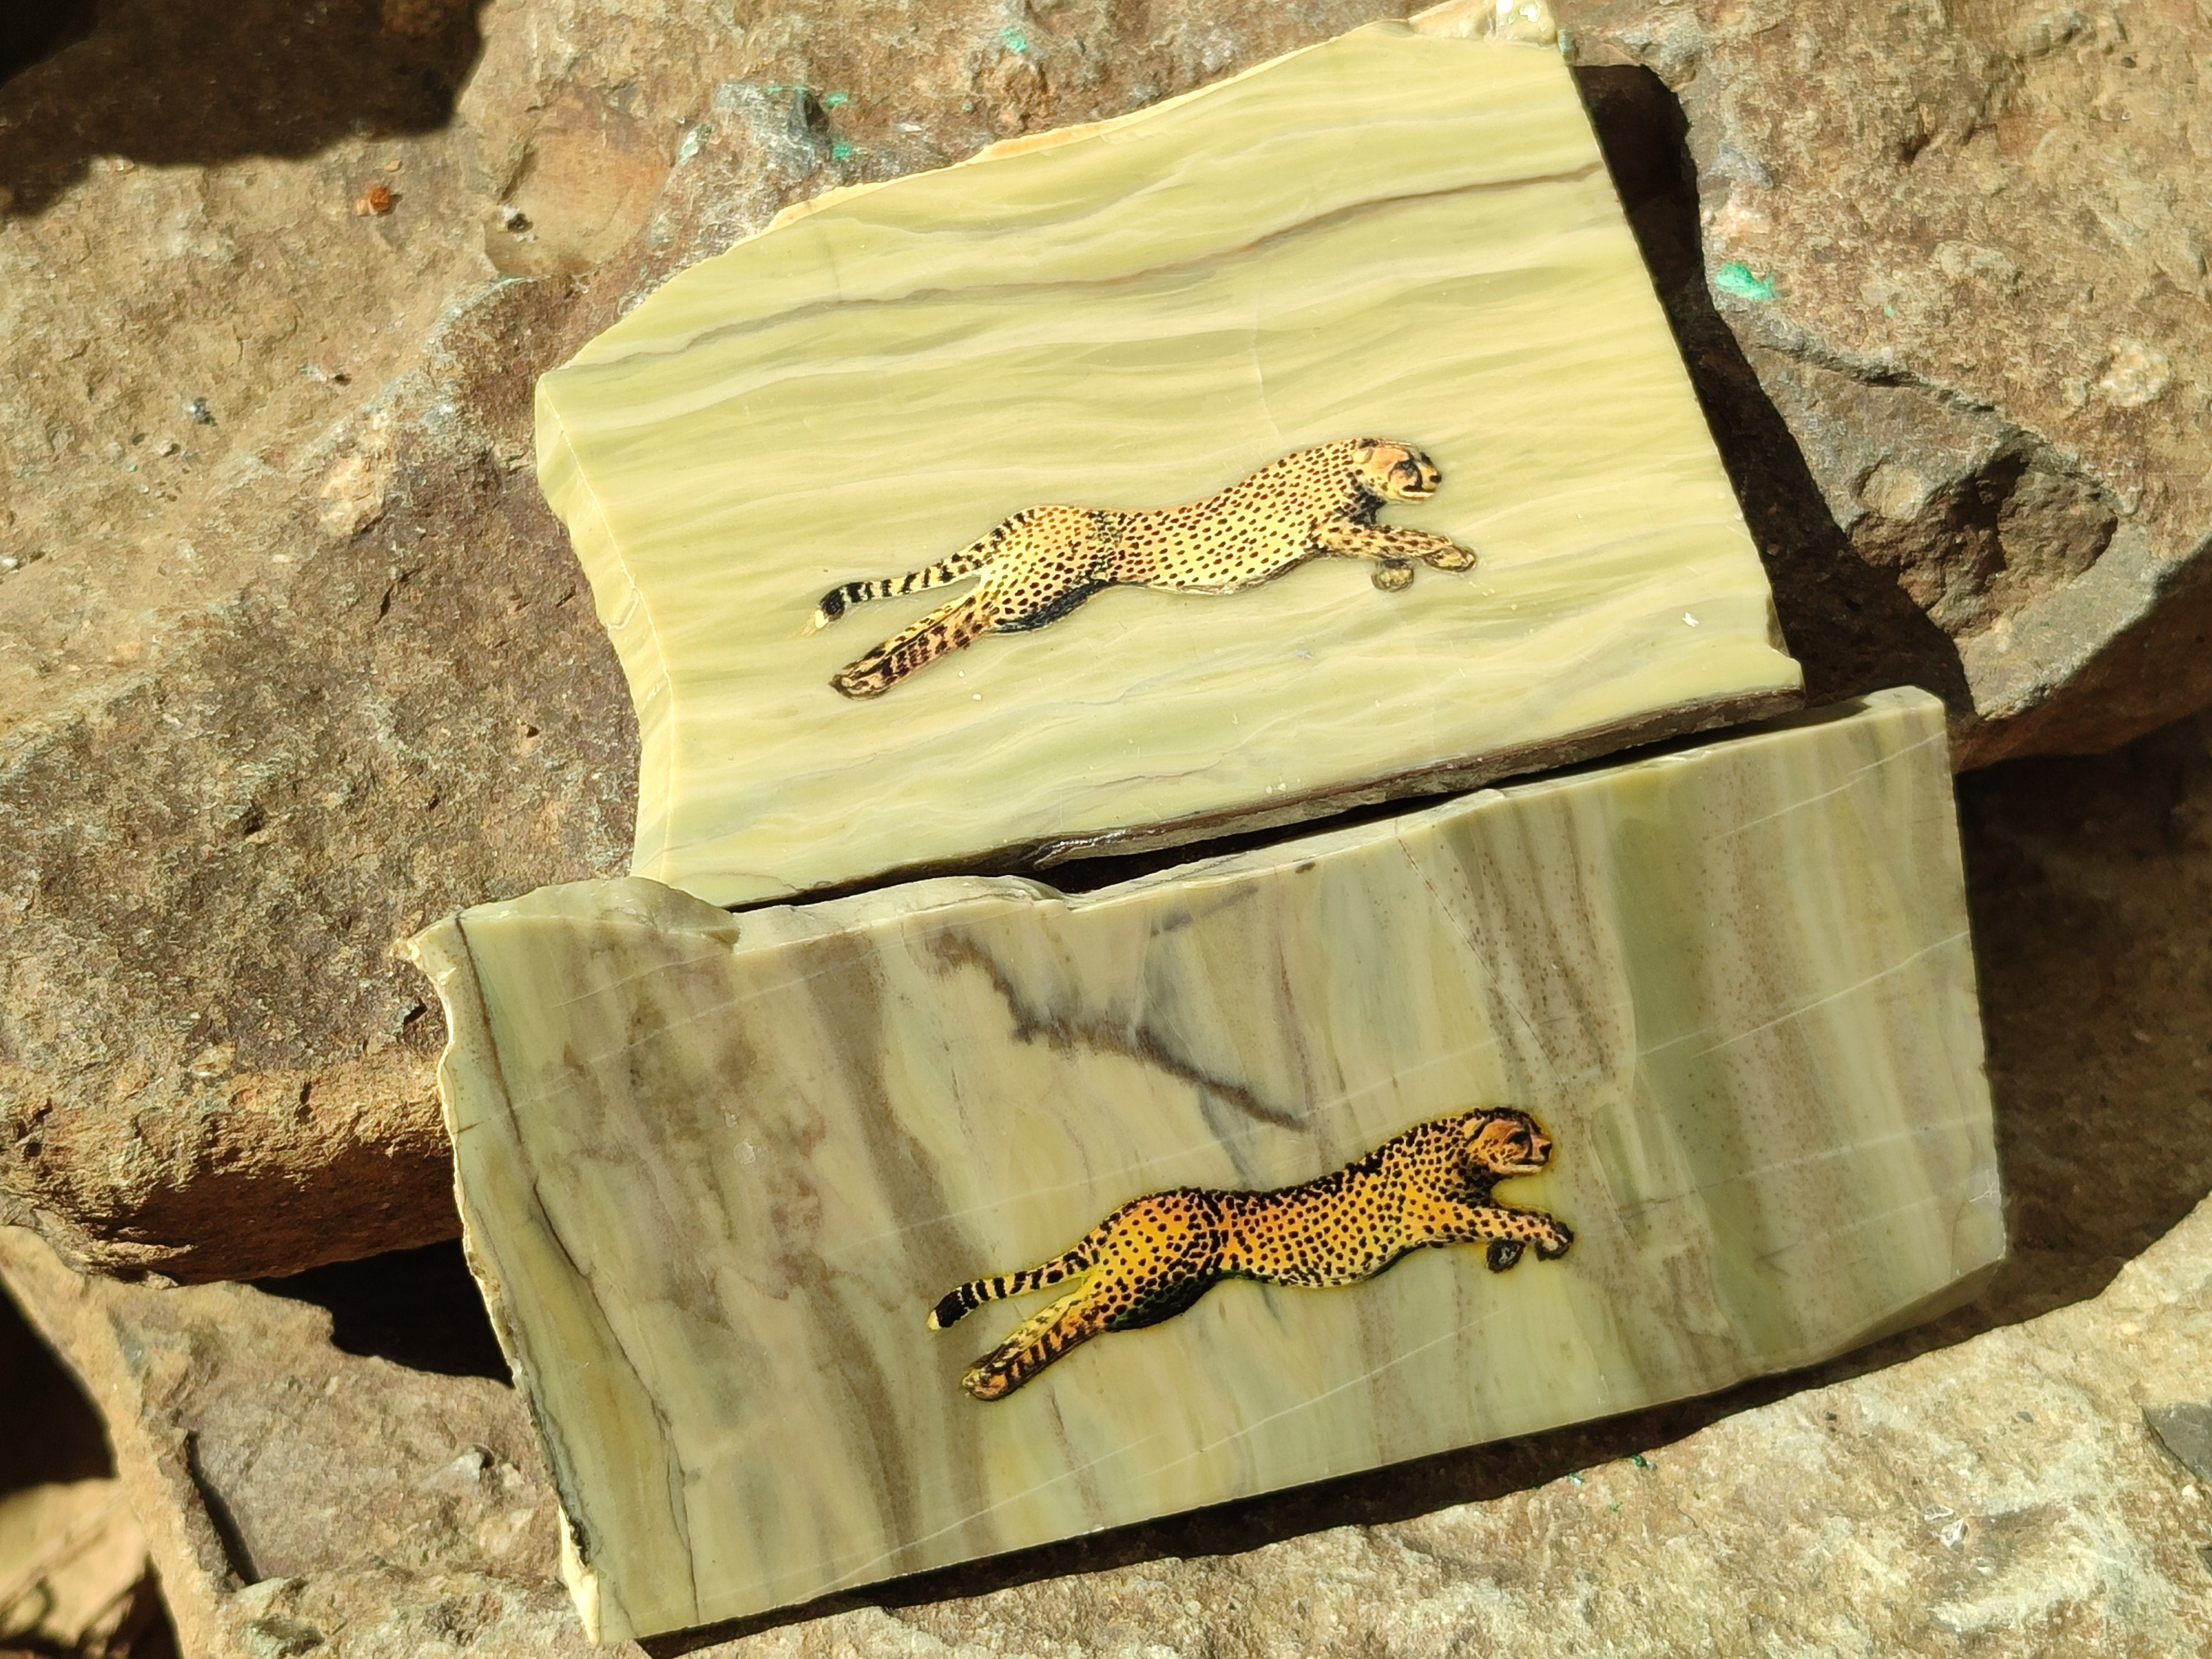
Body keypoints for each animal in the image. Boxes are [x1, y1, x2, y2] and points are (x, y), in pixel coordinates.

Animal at [810, 437, 1477, 698]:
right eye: (1409, 463)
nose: (1438, 477)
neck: (1347, 462)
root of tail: (1040, 510)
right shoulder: (1330, 527)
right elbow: (1401, 533)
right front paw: (1451, 553)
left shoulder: (1342, 533)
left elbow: (1387, 541)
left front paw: (1399, 573)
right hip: (1028, 595)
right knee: (951, 628)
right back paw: (870, 681)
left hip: (1024, 596)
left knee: (941, 613)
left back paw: (851, 675)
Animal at [926, 1108, 1571, 1401]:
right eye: (1521, 1136)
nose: (1548, 1147)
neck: (1460, 1145)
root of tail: (1141, 1202)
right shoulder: (1441, 1213)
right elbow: (1508, 1214)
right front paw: (1549, 1234)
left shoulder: (1452, 1216)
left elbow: (1499, 1219)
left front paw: (1509, 1252)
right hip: (1140, 1283)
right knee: (1071, 1322)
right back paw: (994, 1382)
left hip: (1140, 1288)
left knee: (1058, 1309)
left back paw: (980, 1369)